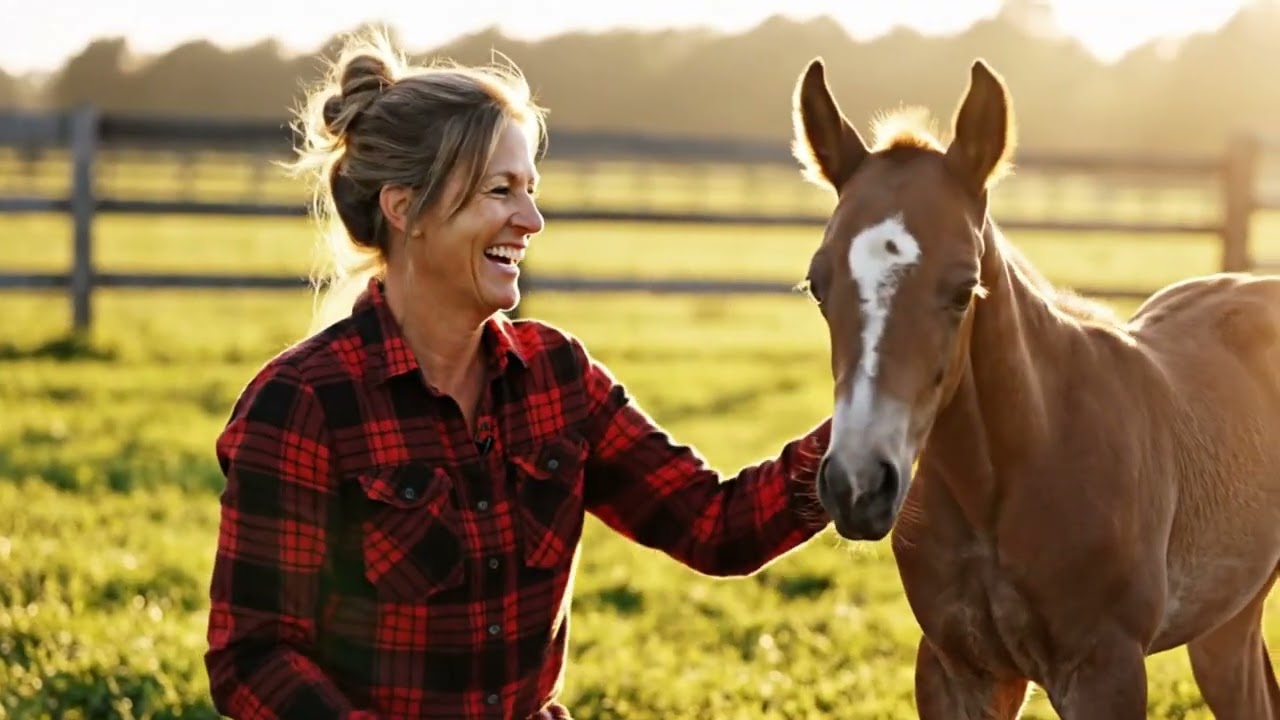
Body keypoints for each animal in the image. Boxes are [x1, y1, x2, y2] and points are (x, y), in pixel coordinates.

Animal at [789, 56, 1280, 718]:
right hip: (1227, 618)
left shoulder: (1105, 671)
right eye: (818, 285)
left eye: (964, 288)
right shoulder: (958, 670)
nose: (858, 486)